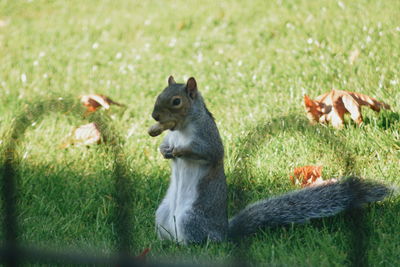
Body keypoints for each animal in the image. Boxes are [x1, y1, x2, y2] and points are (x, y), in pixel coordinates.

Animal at [148, 76, 390, 245]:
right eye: (159, 95)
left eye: (176, 101)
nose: (154, 116)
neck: (180, 129)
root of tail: (223, 232)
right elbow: (165, 144)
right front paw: (164, 150)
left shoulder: (208, 137)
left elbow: (207, 152)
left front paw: (179, 151)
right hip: (162, 215)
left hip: (191, 218)